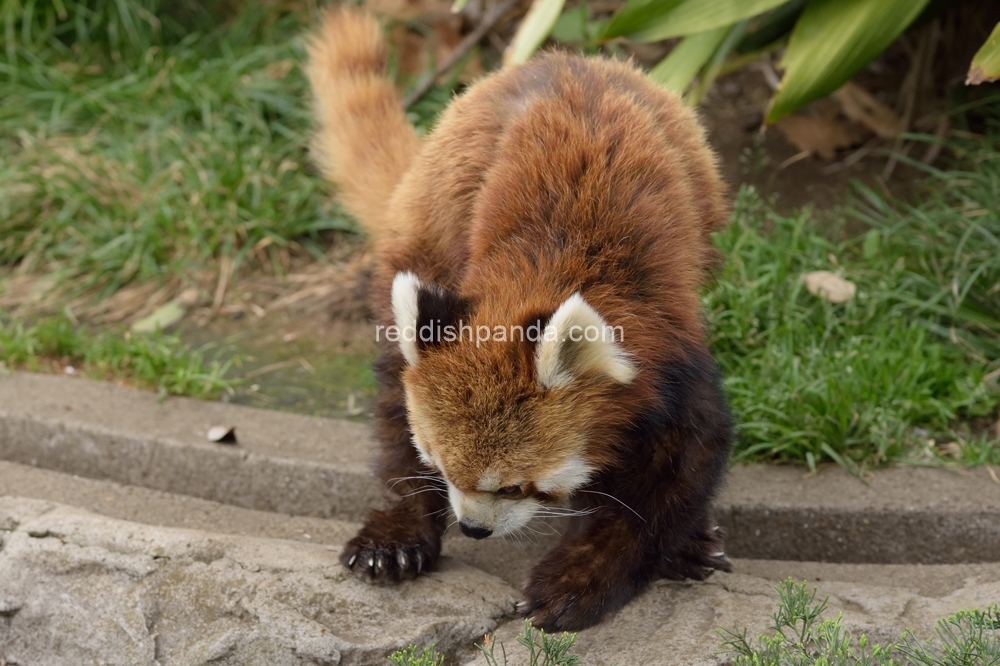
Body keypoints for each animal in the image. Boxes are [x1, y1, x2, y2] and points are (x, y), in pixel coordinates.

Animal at [304, 6, 736, 628]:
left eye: (515, 488)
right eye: (440, 467)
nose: (472, 529)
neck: (557, 266)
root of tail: (566, 57)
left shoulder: (672, 354)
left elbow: (672, 479)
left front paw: (579, 580)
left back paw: (692, 547)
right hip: (427, 234)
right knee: (392, 392)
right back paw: (396, 534)